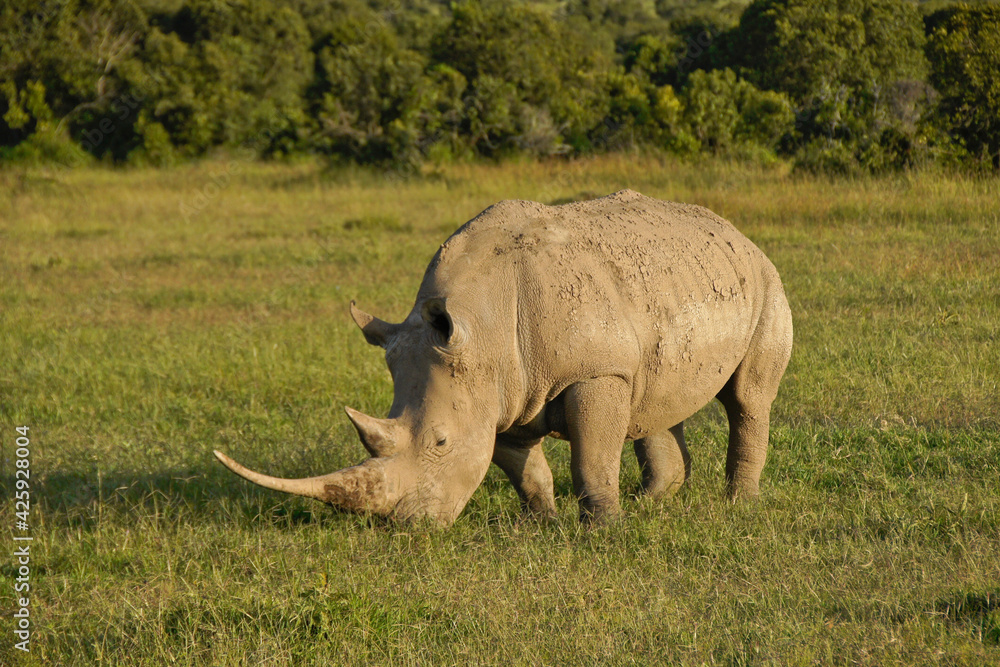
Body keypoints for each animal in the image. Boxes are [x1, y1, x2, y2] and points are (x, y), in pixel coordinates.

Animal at [214, 189, 792, 526]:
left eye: (440, 443)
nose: (406, 527)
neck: (481, 327)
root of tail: (734, 230)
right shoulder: (502, 390)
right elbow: (526, 470)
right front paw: (544, 524)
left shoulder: (592, 371)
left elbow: (591, 458)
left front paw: (603, 531)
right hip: (674, 287)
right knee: (653, 397)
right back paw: (653, 504)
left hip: (765, 282)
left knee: (747, 399)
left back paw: (738, 507)